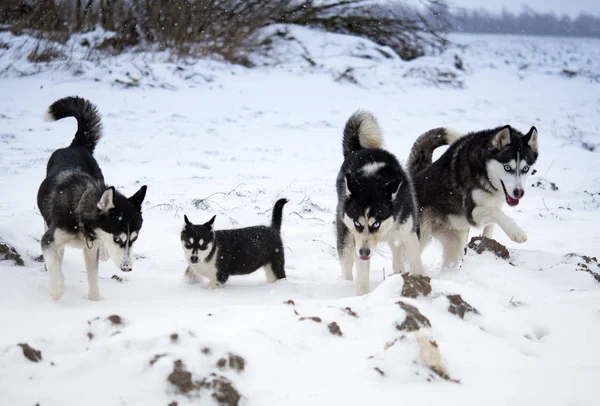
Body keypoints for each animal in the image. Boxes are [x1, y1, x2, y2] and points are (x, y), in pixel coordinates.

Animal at [37, 97, 148, 302]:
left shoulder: (91, 247)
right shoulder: (49, 239)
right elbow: (54, 263)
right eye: (117, 239)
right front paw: (57, 288)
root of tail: (75, 146)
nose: (127, 268)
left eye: (134, 239)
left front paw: (94, 301)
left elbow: (93, 275)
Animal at [336, 111, 424, 294]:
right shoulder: (356, 237)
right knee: (347, 263)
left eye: (376, 223)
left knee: (396, 251)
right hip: (346, 235)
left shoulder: (408, 232)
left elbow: (415, 262)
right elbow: (362, 278)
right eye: (357, 223)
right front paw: (362, 296)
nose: (364, 252)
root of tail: (359, 149)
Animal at [408, 125, 540, 268]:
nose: (519, 192)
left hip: (455, 245)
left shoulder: (494, 205)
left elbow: (492, 223)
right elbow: (495, 212)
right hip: (419, 237)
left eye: (525, 169)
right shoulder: (471, 212)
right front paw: (516, 232)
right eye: (507, 167)